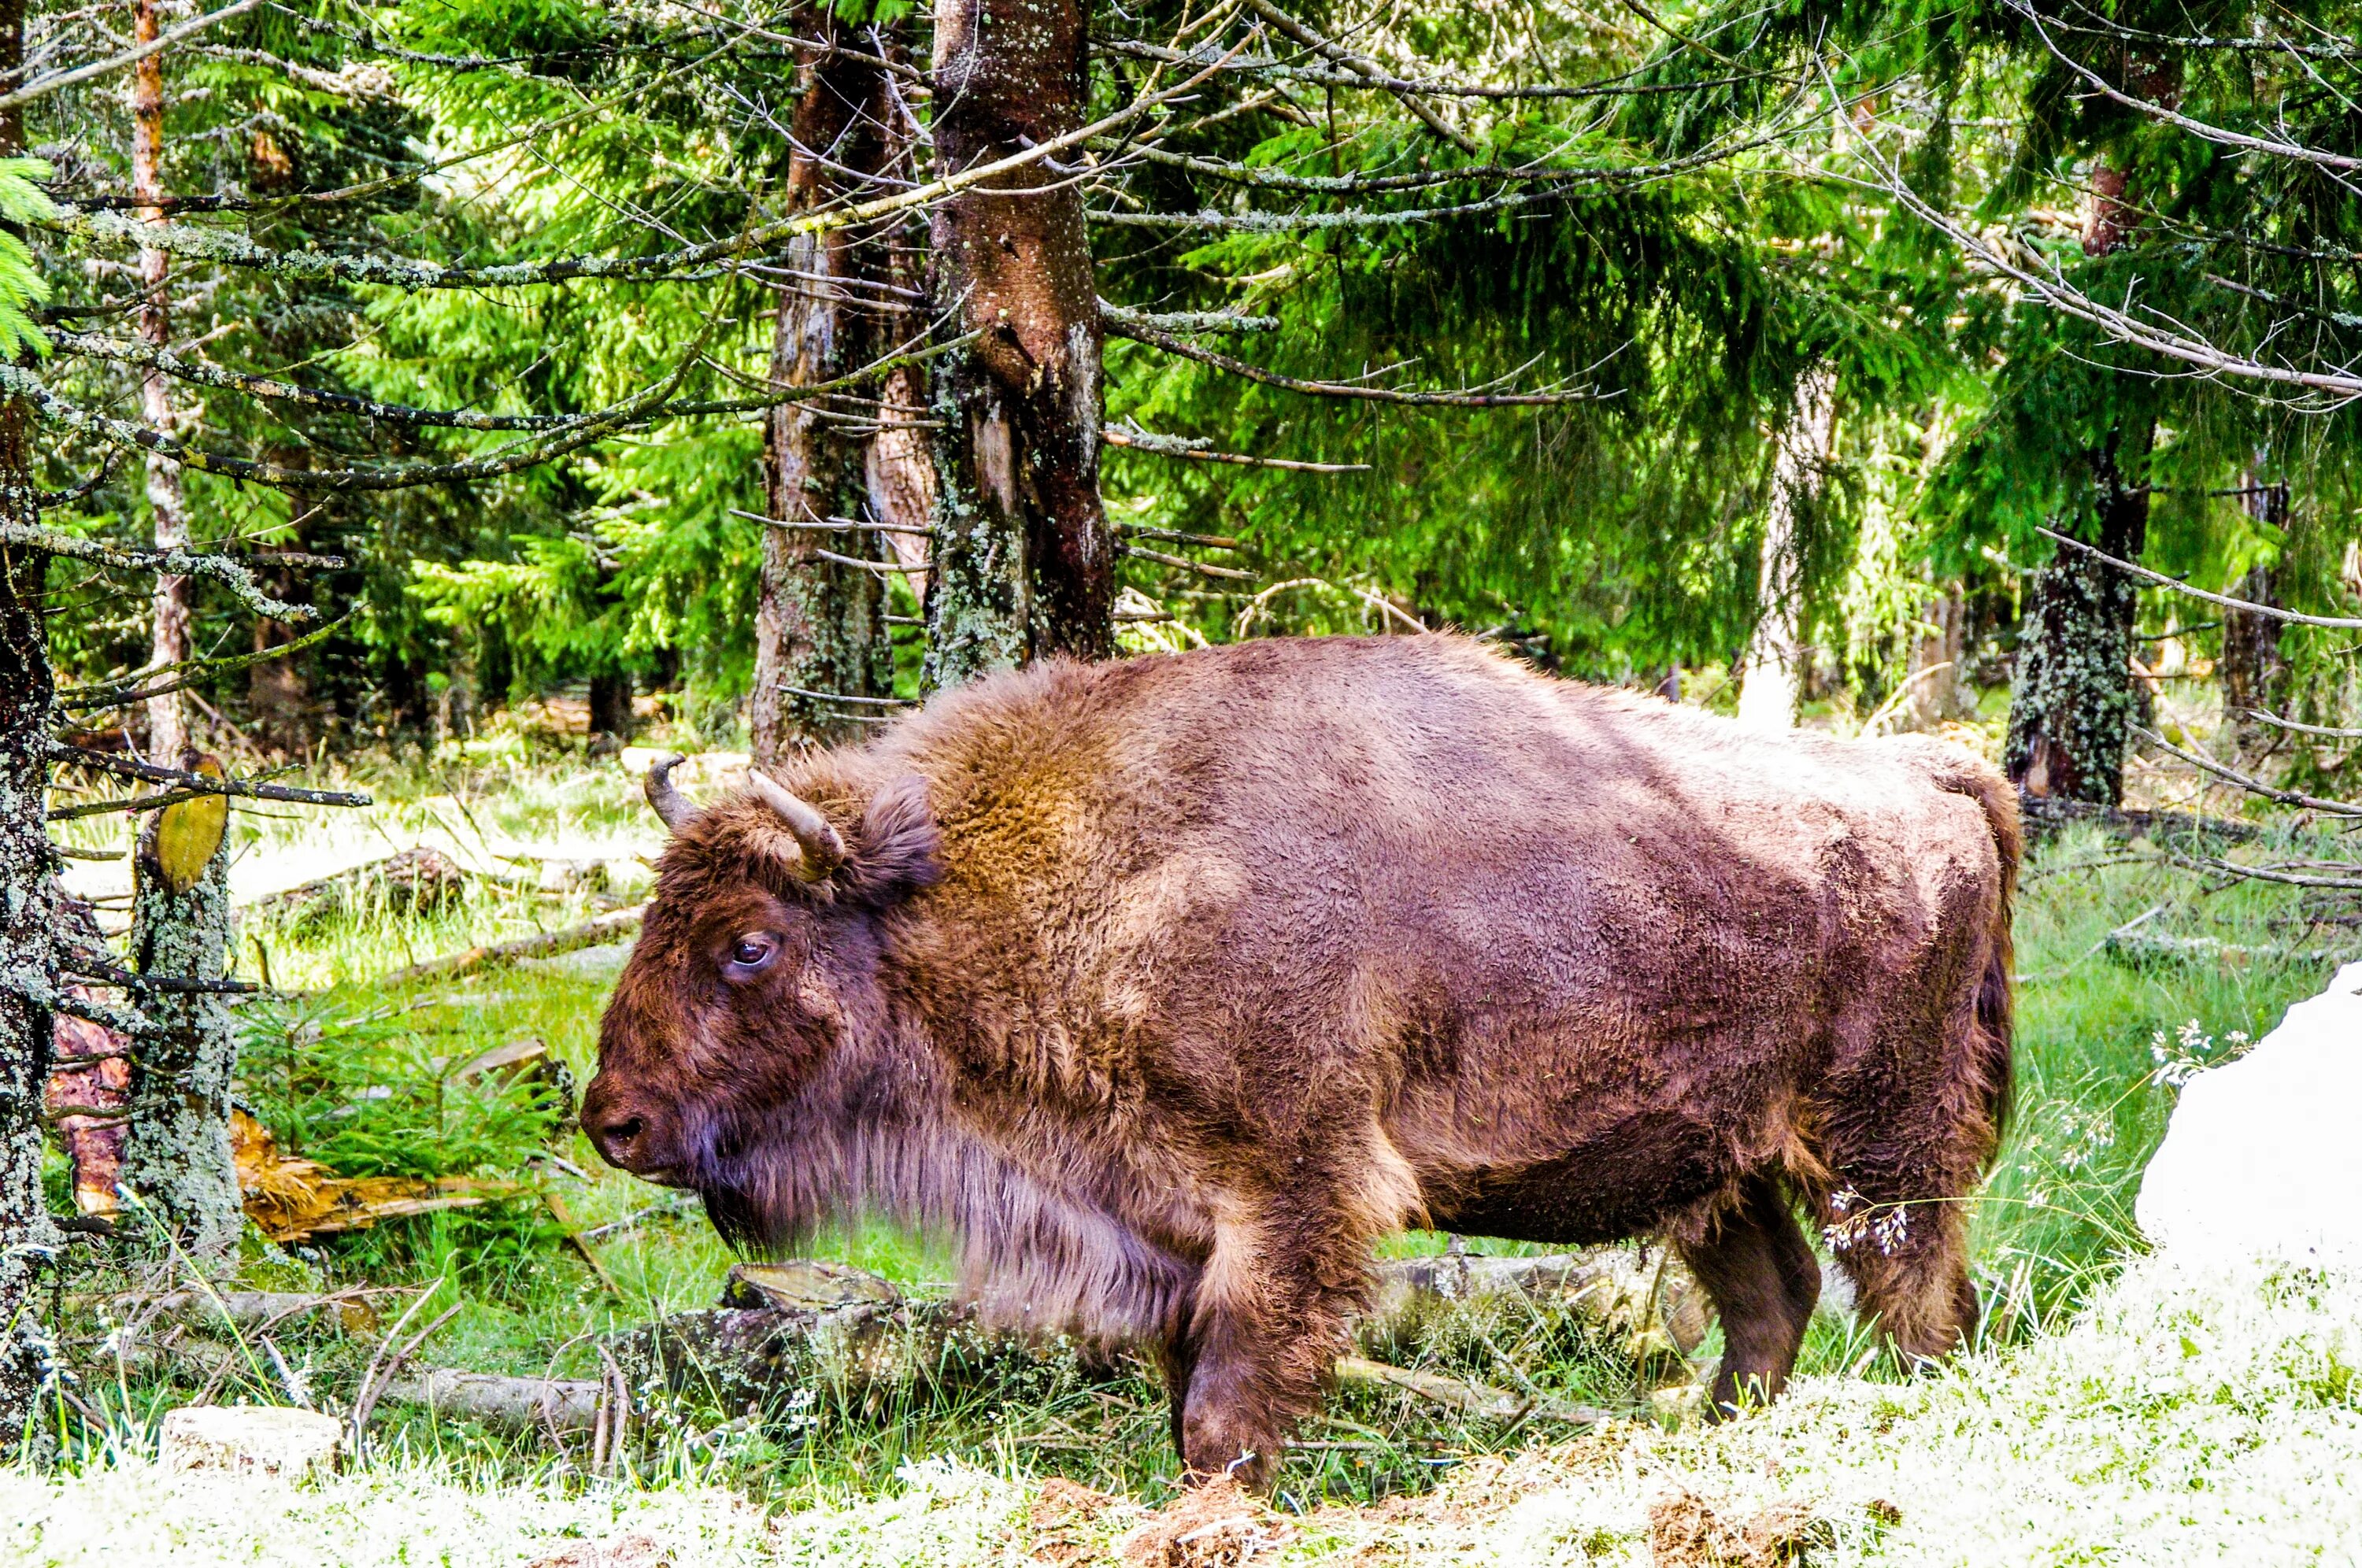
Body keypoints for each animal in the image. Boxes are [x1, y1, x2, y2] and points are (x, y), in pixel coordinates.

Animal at [586, 633, 2012, 1483]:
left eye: (749, 941)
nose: (612, 1121)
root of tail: (1935, 773)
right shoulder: (1166, 1222)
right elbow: (1187, 1379)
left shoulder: (1290, 1189)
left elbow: (1233, 1389)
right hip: (1713, 1166)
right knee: (1775, 1298)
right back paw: (1708, 1442)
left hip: (1879, 1148)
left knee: (1920, 1299)